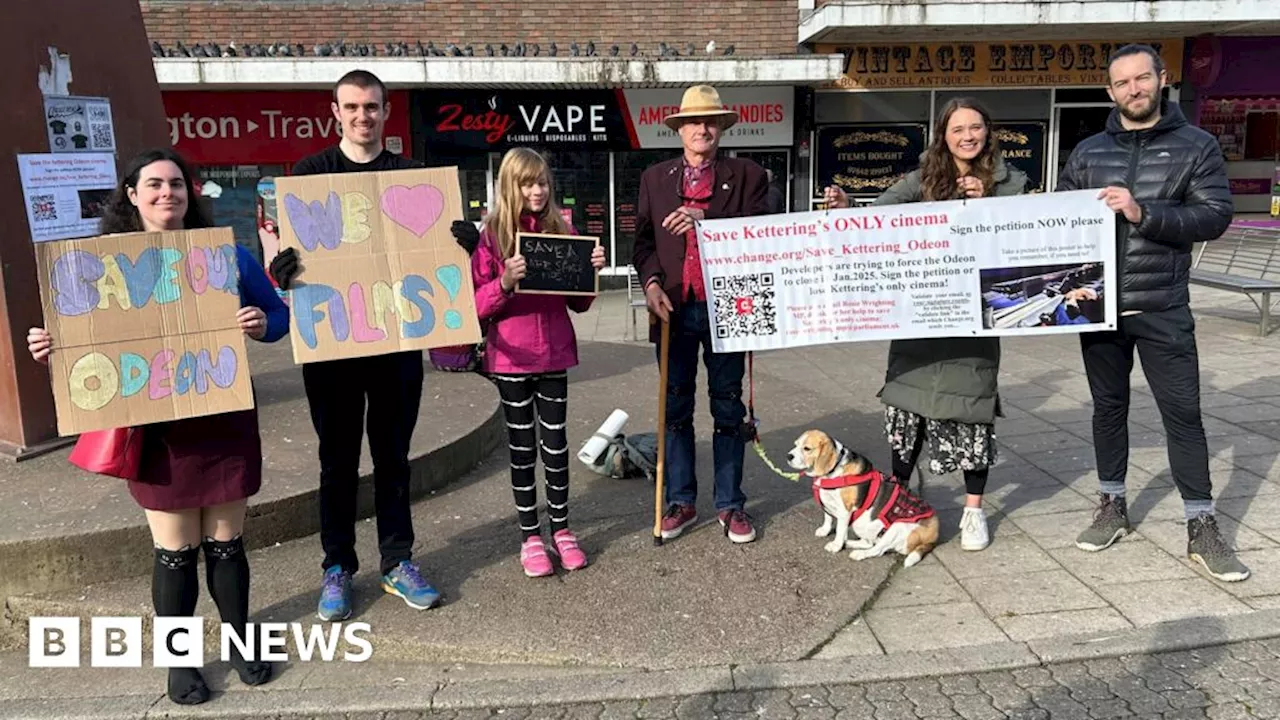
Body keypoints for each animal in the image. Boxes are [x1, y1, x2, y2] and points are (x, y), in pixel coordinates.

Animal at [778, 427, 942, 563]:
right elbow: (828, 518)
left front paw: (836, 545)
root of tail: (933, 537)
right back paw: (849, 543)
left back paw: (857, 553)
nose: (788, 456)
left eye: (807, 448)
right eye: (795, 444)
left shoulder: (844, 511)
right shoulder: (828, 503)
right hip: (862, 525)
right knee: (868, 543)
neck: (833, 471)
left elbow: (840, 529)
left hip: (897, 527)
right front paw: (825, 531)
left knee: (877, 550)